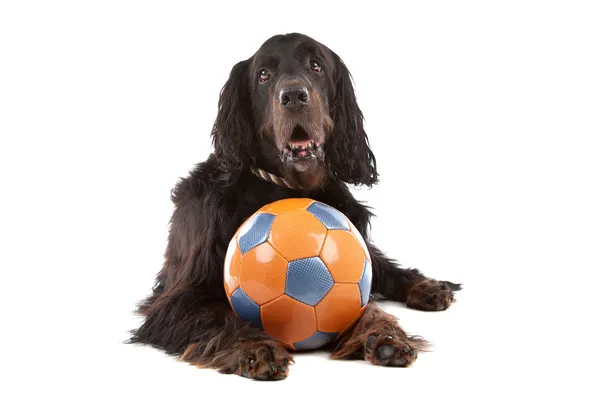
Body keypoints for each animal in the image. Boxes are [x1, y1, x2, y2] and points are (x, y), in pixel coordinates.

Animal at [129, 32, 462, 380]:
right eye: (263, 75)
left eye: (316, 66)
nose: (293, 96)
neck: (286, 187)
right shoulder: (177, 300)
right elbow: (220, 316)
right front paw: (256, 348)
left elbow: (367, 300)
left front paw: (384, 336)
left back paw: (426, 286)